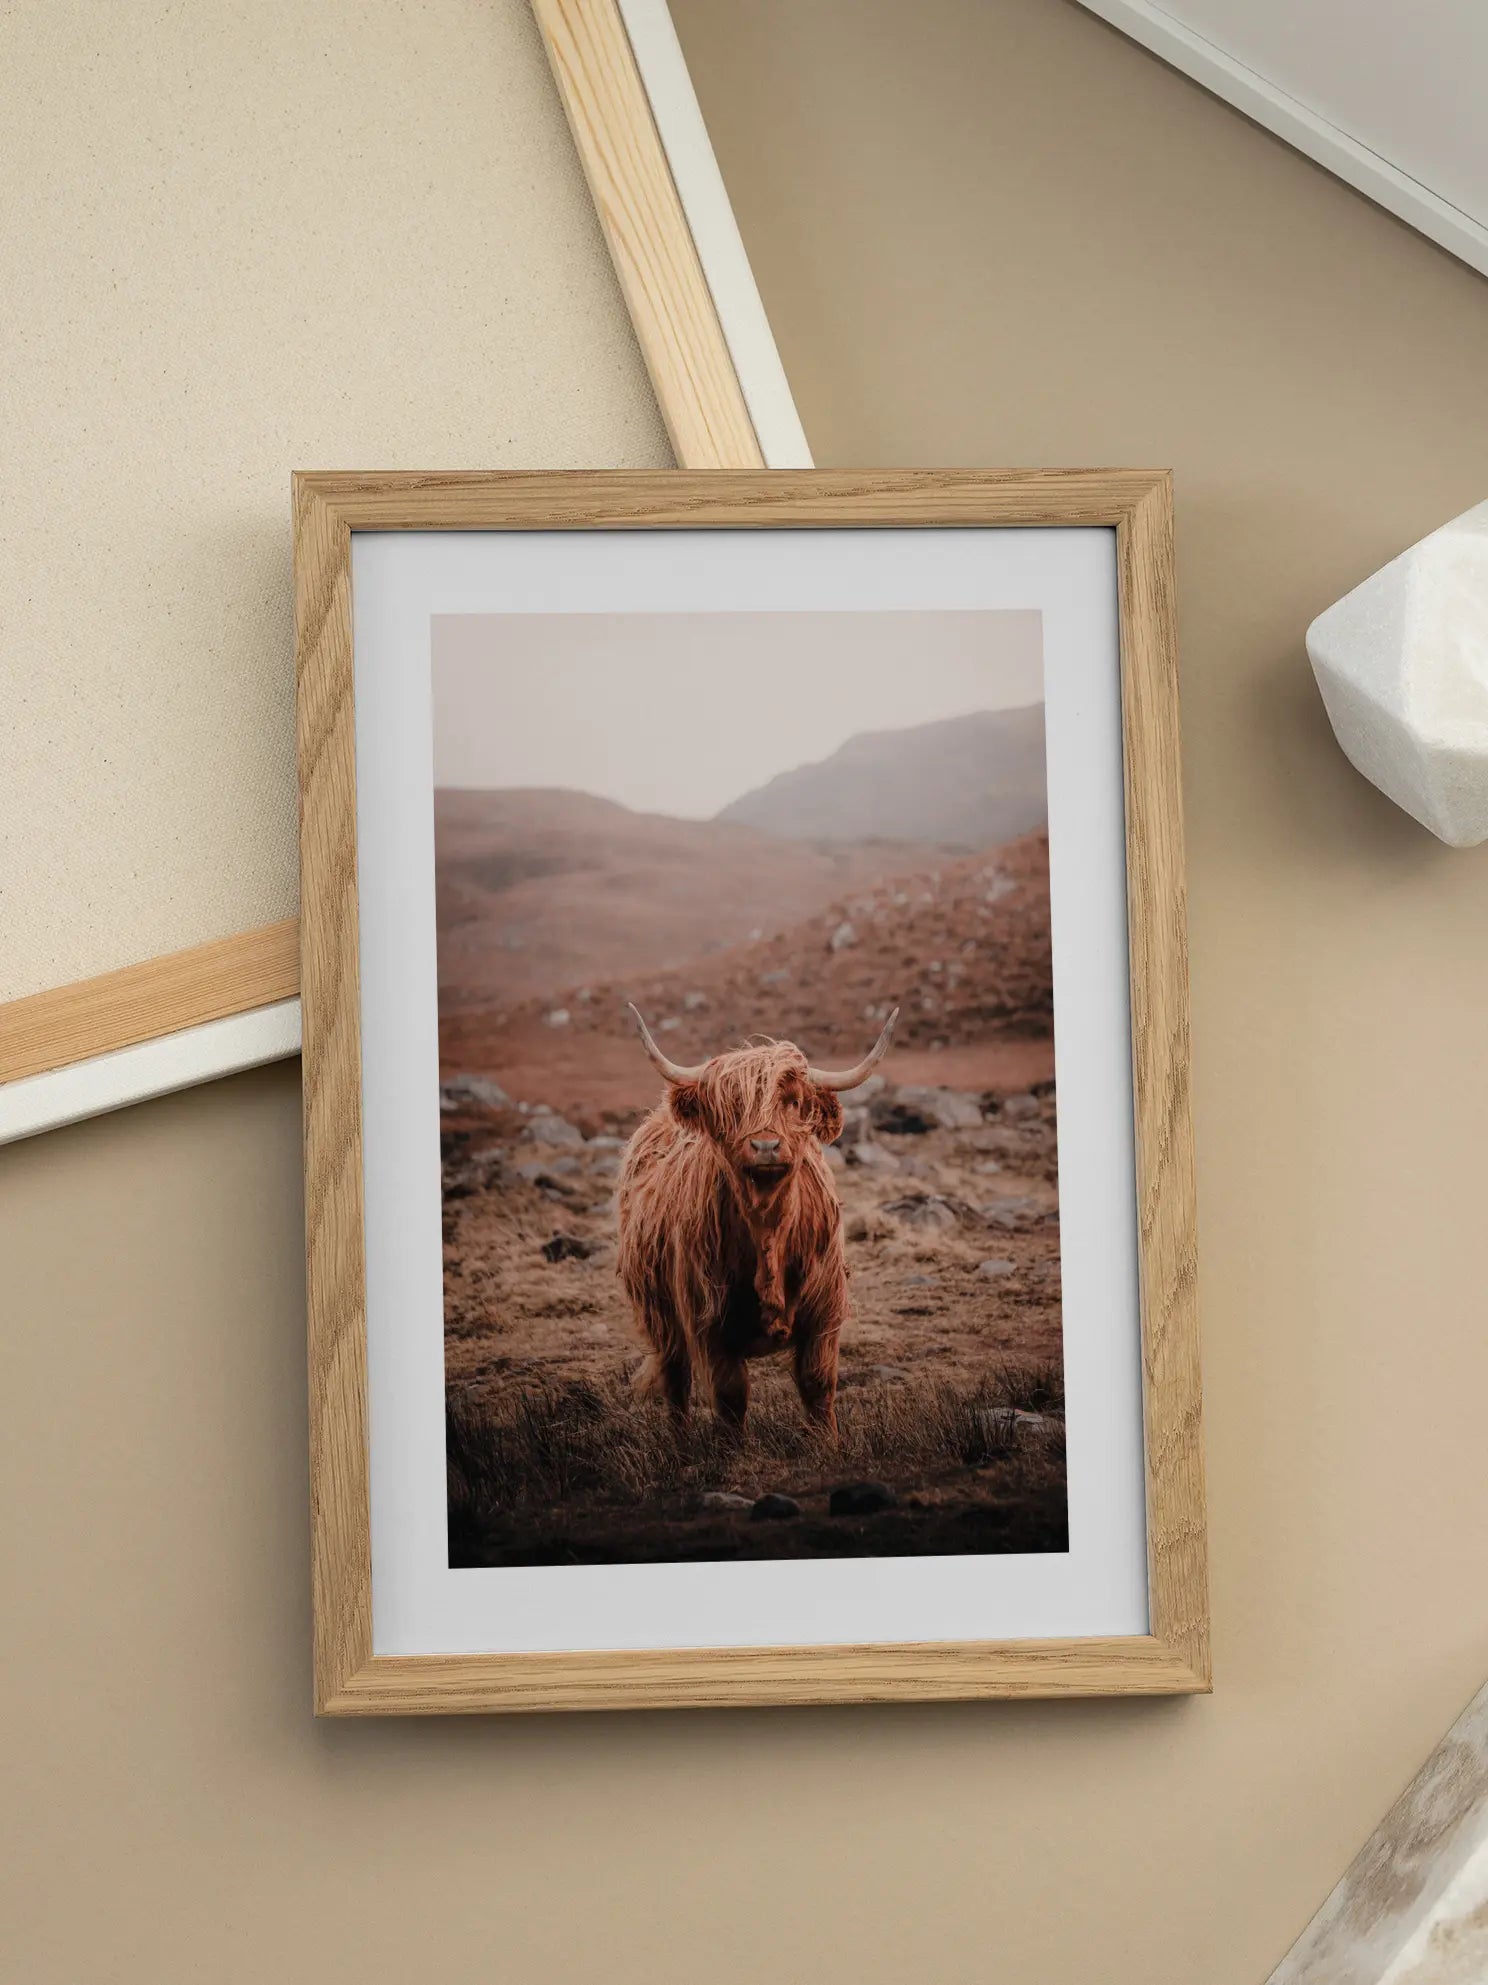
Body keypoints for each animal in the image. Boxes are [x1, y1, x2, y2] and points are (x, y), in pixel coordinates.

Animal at [615, 1002, 898, 1434]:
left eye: (792, 1101)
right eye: (732, 1107)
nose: (766, 1145)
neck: (769, 1231)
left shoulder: (825, 1315)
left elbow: (818, 1386)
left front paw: (827, 1443)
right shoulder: (708, 1323)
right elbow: (730, 1397)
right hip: (660, 1314)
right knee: (675, 1382)